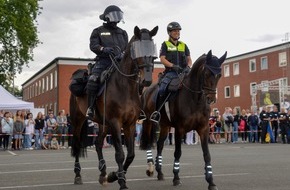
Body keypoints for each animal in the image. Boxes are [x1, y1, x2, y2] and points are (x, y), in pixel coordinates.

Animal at [71, 25, 159, 190]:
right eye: (136, 49)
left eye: (152, 48)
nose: (147, 80)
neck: (125, 86)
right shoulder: (115, 122)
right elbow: (120, 154)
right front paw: (121, 181)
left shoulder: (129, 124)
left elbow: (130, 155)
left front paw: (113, 176)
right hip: (78, 120)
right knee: (77, 144)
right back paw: (78, 175)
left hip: (103, 124)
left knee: (98, 143)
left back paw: (103, 174)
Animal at [140, 49, 227, 189]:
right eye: (207, 73)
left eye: (219, 75)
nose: (211, 98)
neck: (194, 99)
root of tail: (147, 91)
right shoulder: (179, 129)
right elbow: (177, 152)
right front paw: (176, 177)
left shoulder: (203, 129)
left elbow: (207, 154)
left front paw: (211, 181)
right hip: (148, 122)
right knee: (149, 142)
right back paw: (151, 168)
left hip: (165, 126)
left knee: (159, 145)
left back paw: (160, 172)